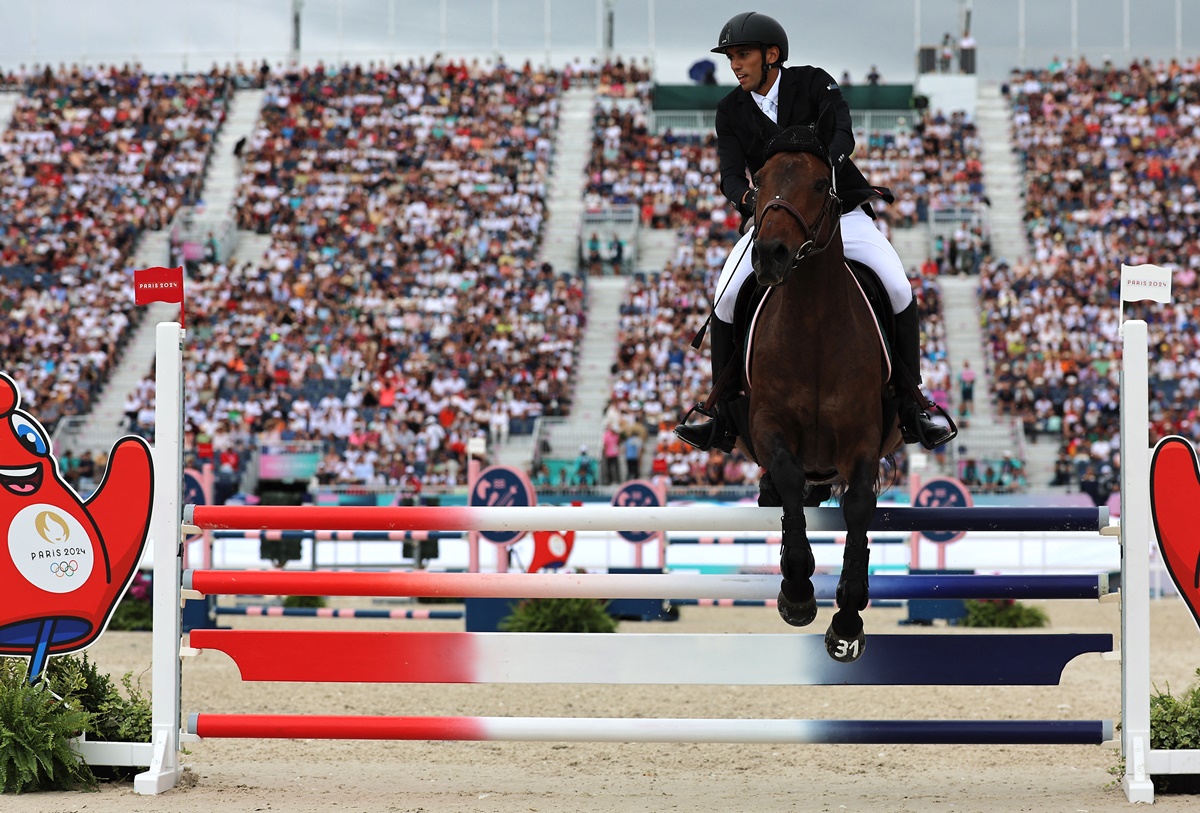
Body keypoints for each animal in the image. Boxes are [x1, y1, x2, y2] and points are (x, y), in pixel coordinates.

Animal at [739, 124, 902, 666]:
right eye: (759, 183)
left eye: (817, 183)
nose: (770, 255)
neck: (811, 323)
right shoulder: (767, 425)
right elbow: (789, 477)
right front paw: (797, 591)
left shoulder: (862, 438)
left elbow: (858, 508)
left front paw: (847, 620)